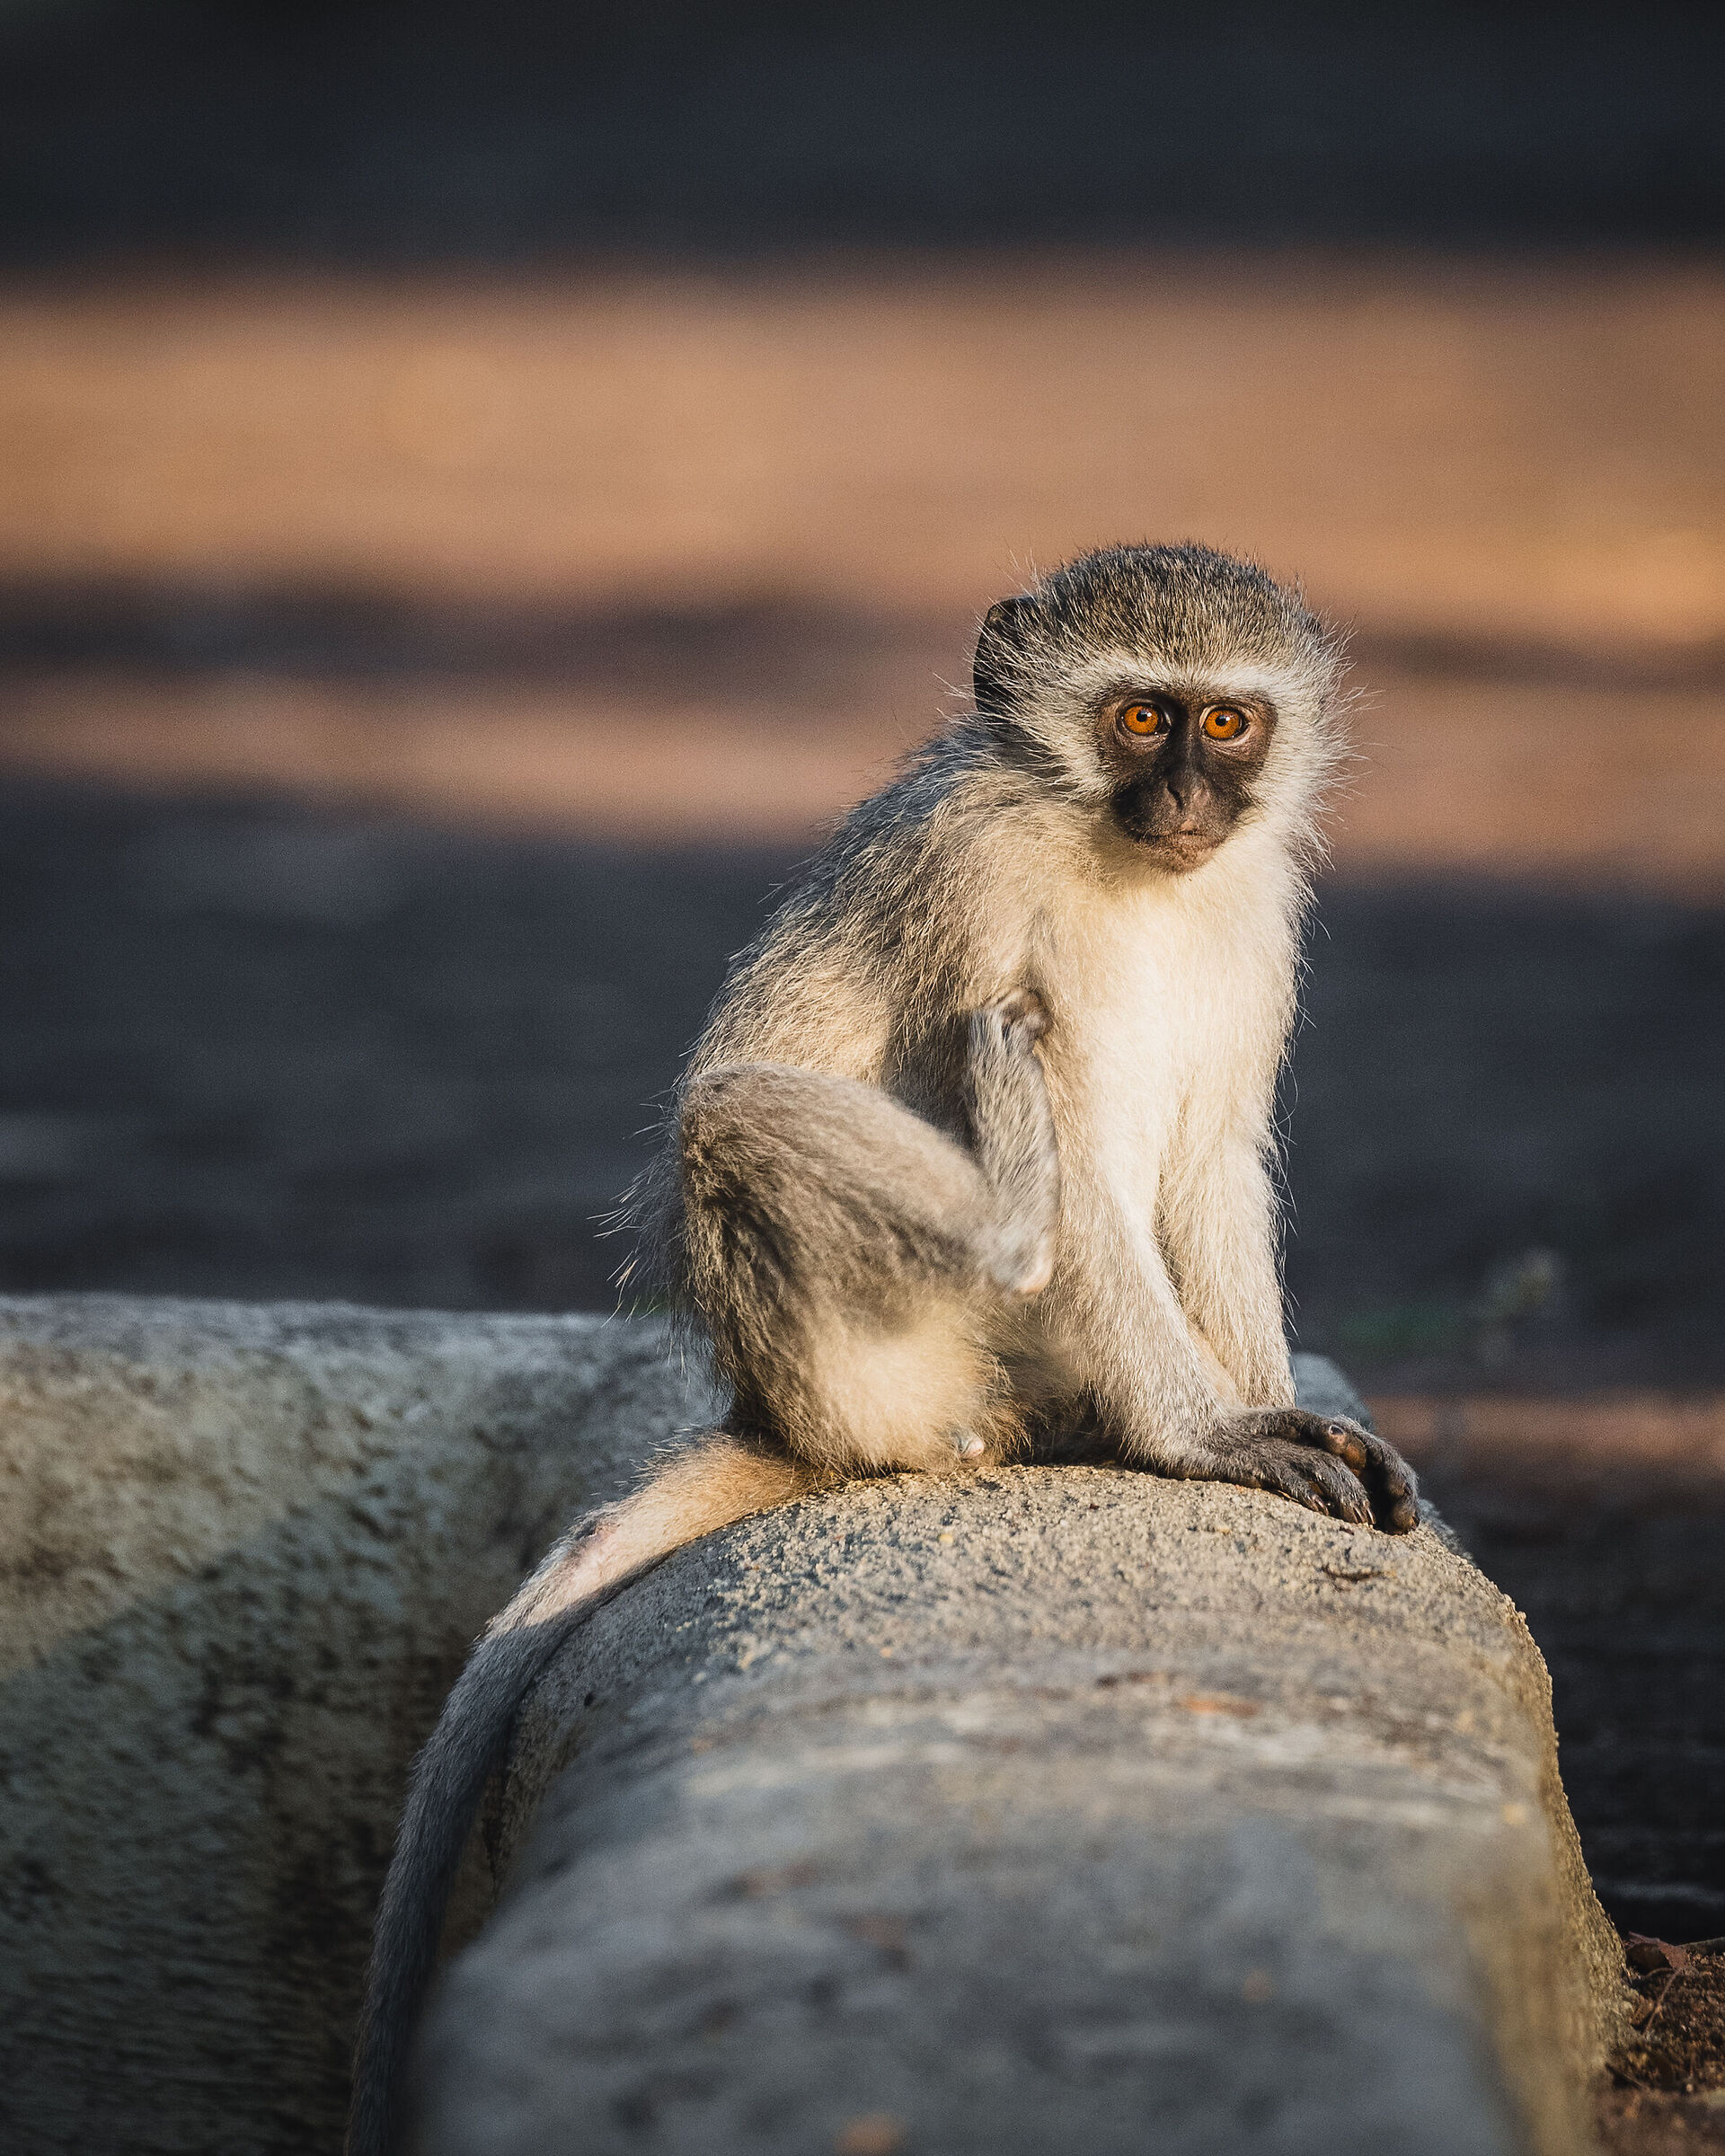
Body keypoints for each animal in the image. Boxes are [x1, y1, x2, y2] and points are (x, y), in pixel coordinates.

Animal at [346, 542, 1419, 2156]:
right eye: (1140, 718)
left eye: (1225, 724)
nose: (1185, 800)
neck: (1123, 868)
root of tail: (778, 1405)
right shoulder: (984, 886)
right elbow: (1100, 1165)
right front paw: (1210, 1438)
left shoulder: (1252, 909)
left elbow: (1215, 1158)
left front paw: (1273, 1411)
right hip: (874, 1348)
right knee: (761, 1118)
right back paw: (1018, 1224)